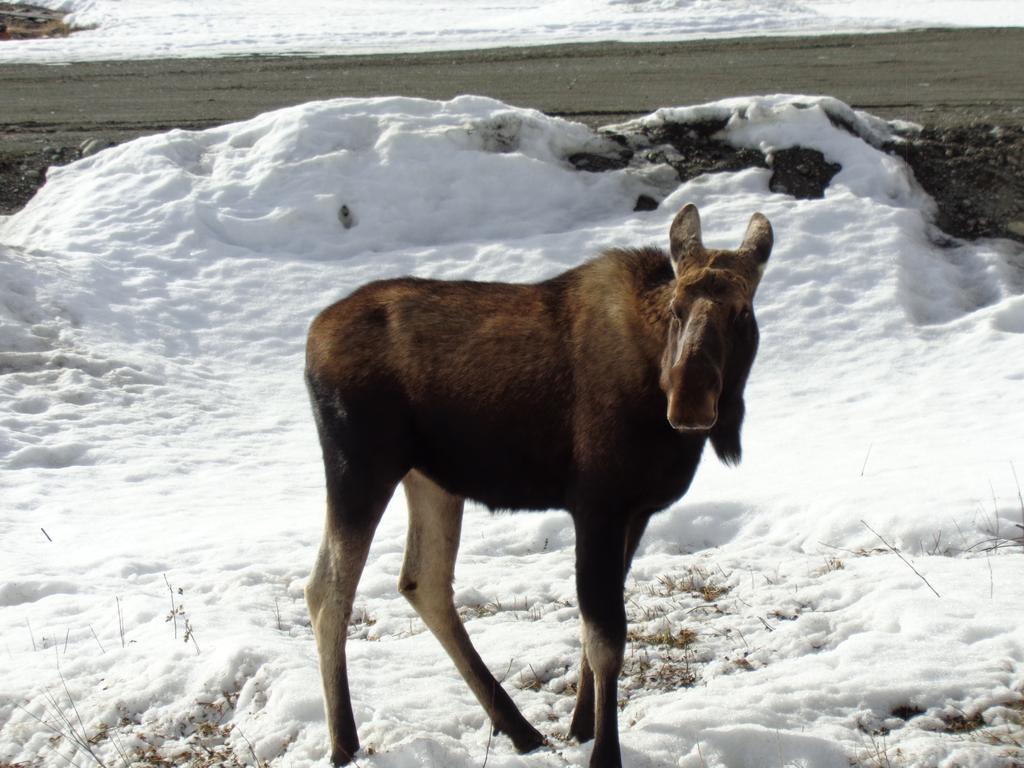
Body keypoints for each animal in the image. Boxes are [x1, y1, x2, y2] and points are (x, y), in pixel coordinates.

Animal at [307, 201, 770, 765]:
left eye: (741, 312)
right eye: (679, 309)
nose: (689, 402)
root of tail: (312, 337)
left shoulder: (634, 513)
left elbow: (595, 629)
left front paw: (581, 726)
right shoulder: (597, 504)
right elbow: (606, 638)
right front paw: (603, 752)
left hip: (432, 479)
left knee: (423, 580)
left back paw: (517, 726)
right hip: (360, 466)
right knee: (327, 590)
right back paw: (344, 742)